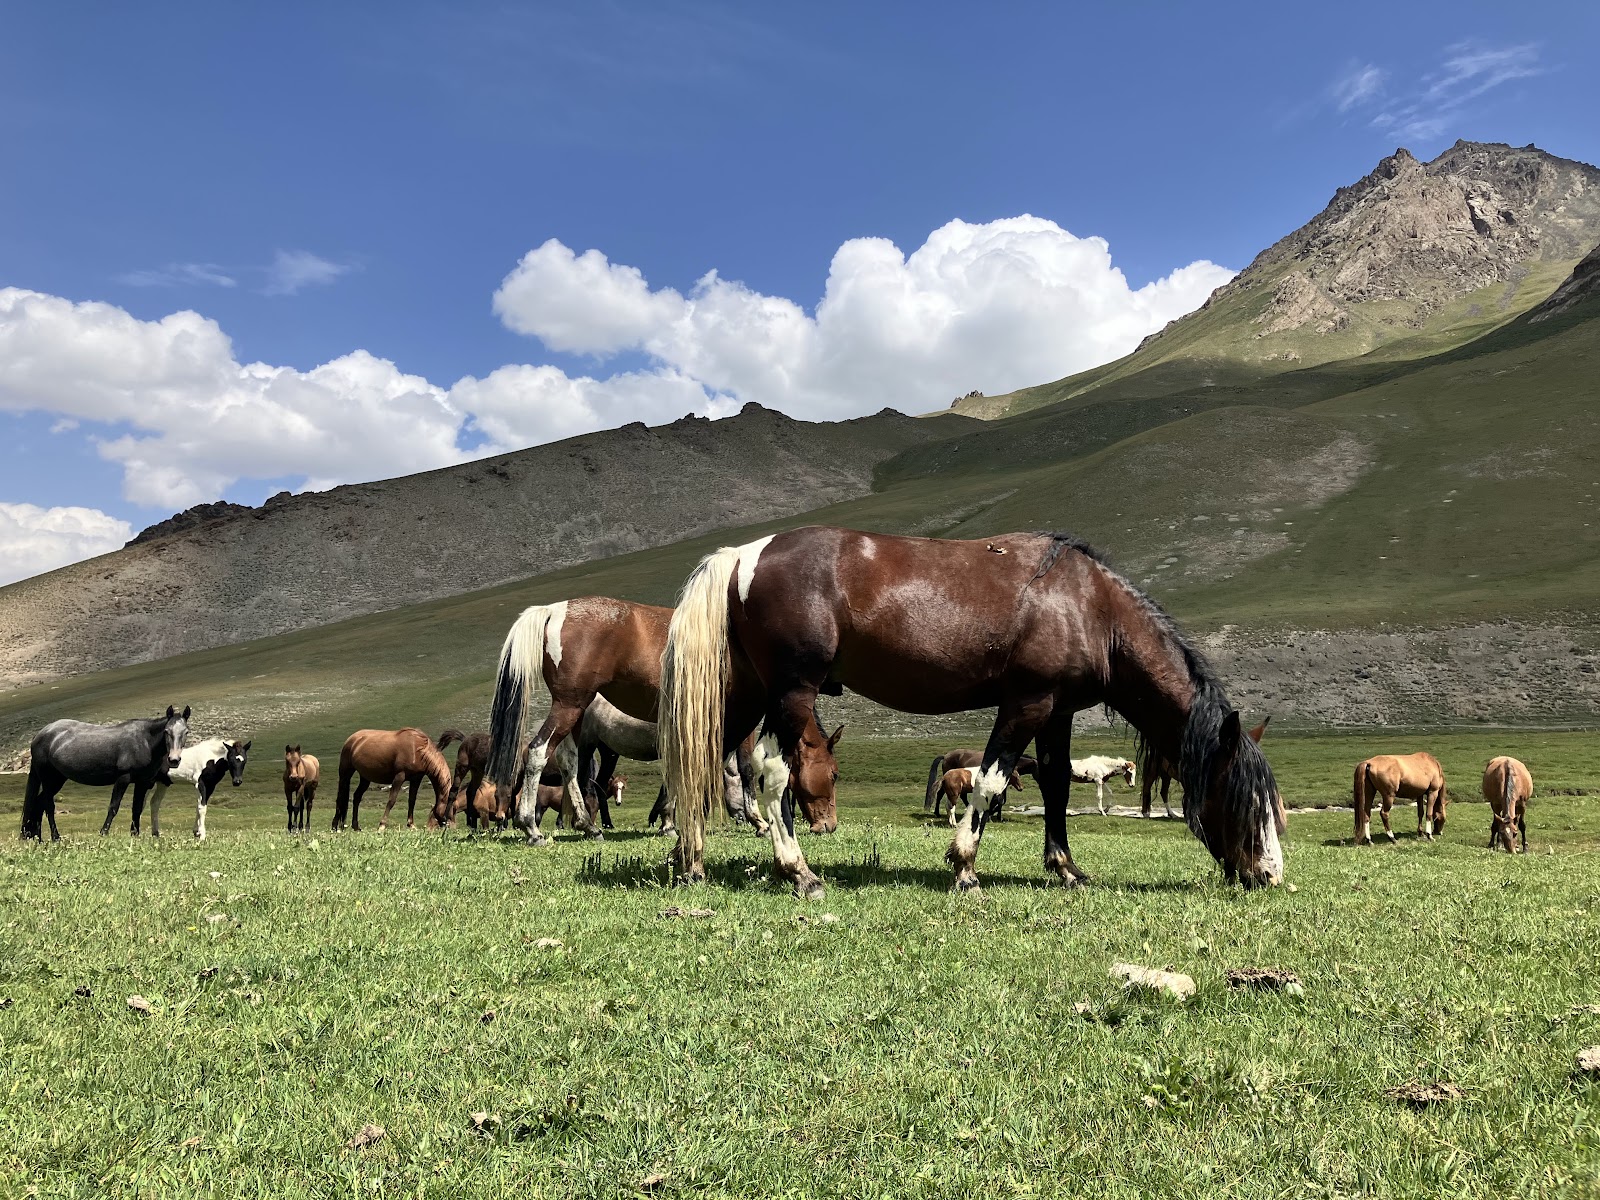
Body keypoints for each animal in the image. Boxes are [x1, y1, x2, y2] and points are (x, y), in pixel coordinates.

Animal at [21, 706, 191, 841]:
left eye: (186, 732)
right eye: (167, 731)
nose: (174, 760)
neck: (145, 742)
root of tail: (41, 734)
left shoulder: (143, 782)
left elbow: (137, 808)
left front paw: (135, 835)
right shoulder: (123, 779)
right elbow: (113, 807)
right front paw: (103, 833)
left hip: (58, 779)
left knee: (39, 803)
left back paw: (37, 838)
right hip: (47, 778)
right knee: (48, 806)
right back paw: (55, 837)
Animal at [485, 596, 786, 844]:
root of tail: (554, 610)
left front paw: (669, 821)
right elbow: (745, 769)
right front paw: (759, 822)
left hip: (574, 712)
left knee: (567, 761)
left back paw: (588, 826)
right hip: (568, 707)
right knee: (540, 753)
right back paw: (531, 828)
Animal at [661, 527, 1284, 898]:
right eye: (1245, 799)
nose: (1271, 874)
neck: (1090, 607)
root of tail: (745, 555)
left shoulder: (1058, 713)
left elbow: (1056, 784)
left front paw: (1066, 867)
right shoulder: (1026, 703)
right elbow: (989, 782)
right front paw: (964, 864)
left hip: (745, 693)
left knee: (702, 764)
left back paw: (689, 861)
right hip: (791, 692)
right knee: (772, 774)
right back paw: (799, 871)